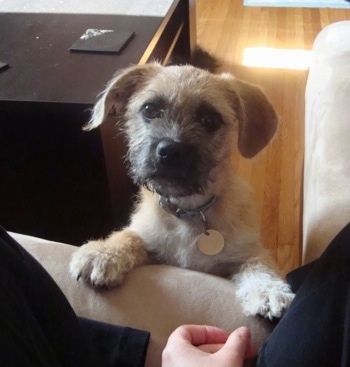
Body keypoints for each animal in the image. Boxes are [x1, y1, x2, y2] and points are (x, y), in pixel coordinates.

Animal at [69, 63, 294, 320]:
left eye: (210, 120)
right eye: (149, 109)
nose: (170, 151)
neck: (189, 211)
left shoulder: (245, 253)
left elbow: (259, 265)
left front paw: (269, 290)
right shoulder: (152, 243)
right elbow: (130, 236)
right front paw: (104, 253)